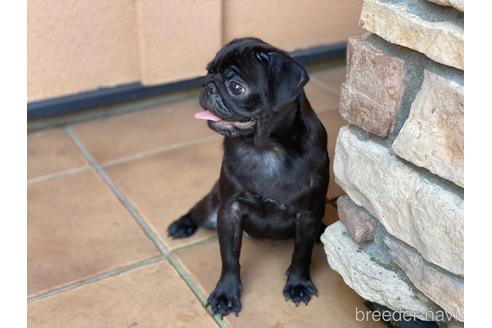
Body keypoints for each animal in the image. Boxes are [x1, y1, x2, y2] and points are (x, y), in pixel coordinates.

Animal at [167, 37, 328, 318]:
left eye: (236, 87)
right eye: (208, 71)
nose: (208, 85)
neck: (265, 149)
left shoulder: (307, 216)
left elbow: (301, 255)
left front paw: (298, 284)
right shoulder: (229, 211)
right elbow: (230, 258)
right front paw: (226, 294)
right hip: (211, 207)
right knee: (197, 211)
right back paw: (182, 224)